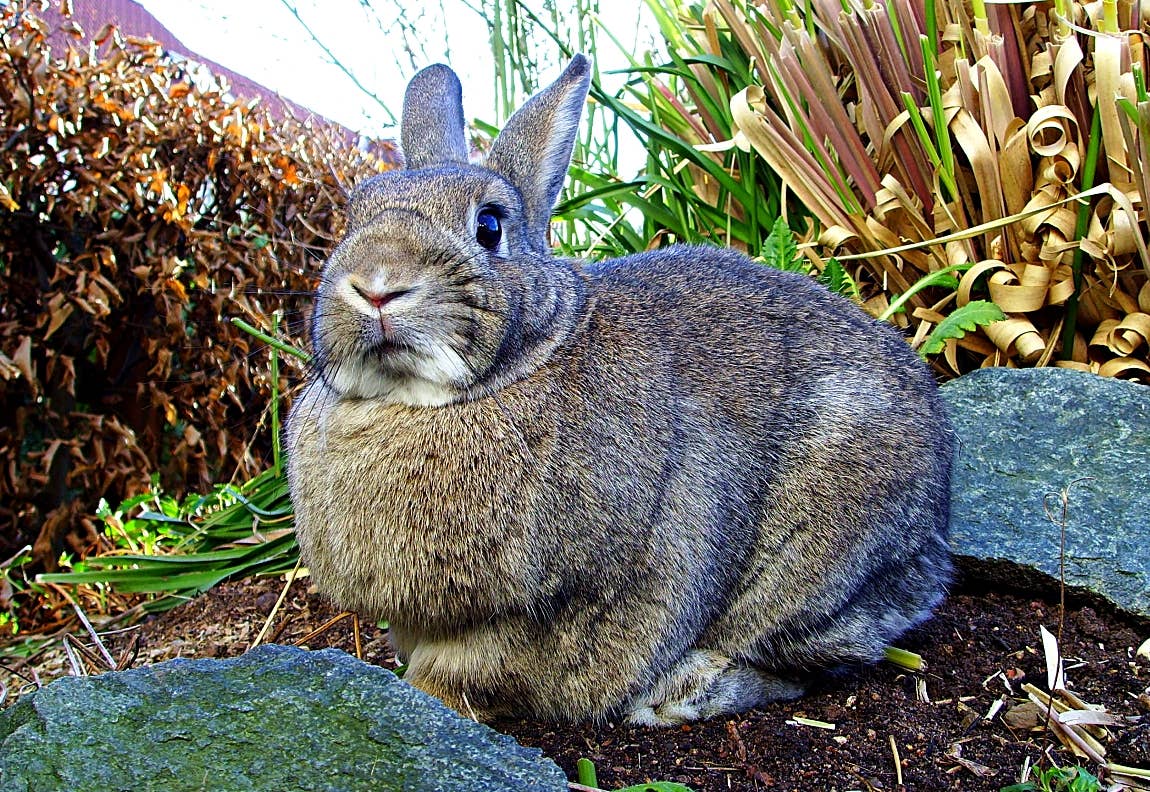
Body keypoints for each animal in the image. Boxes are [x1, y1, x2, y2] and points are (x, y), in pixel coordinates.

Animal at [285, 54, 953, 726]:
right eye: (354, 214)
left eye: (489, 226)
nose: (376, 286)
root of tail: (937, 537)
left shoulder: (543, 610)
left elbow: (464, 673)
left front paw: (425, 698)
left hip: (809, 566)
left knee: (815, 657)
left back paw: (682, 692)